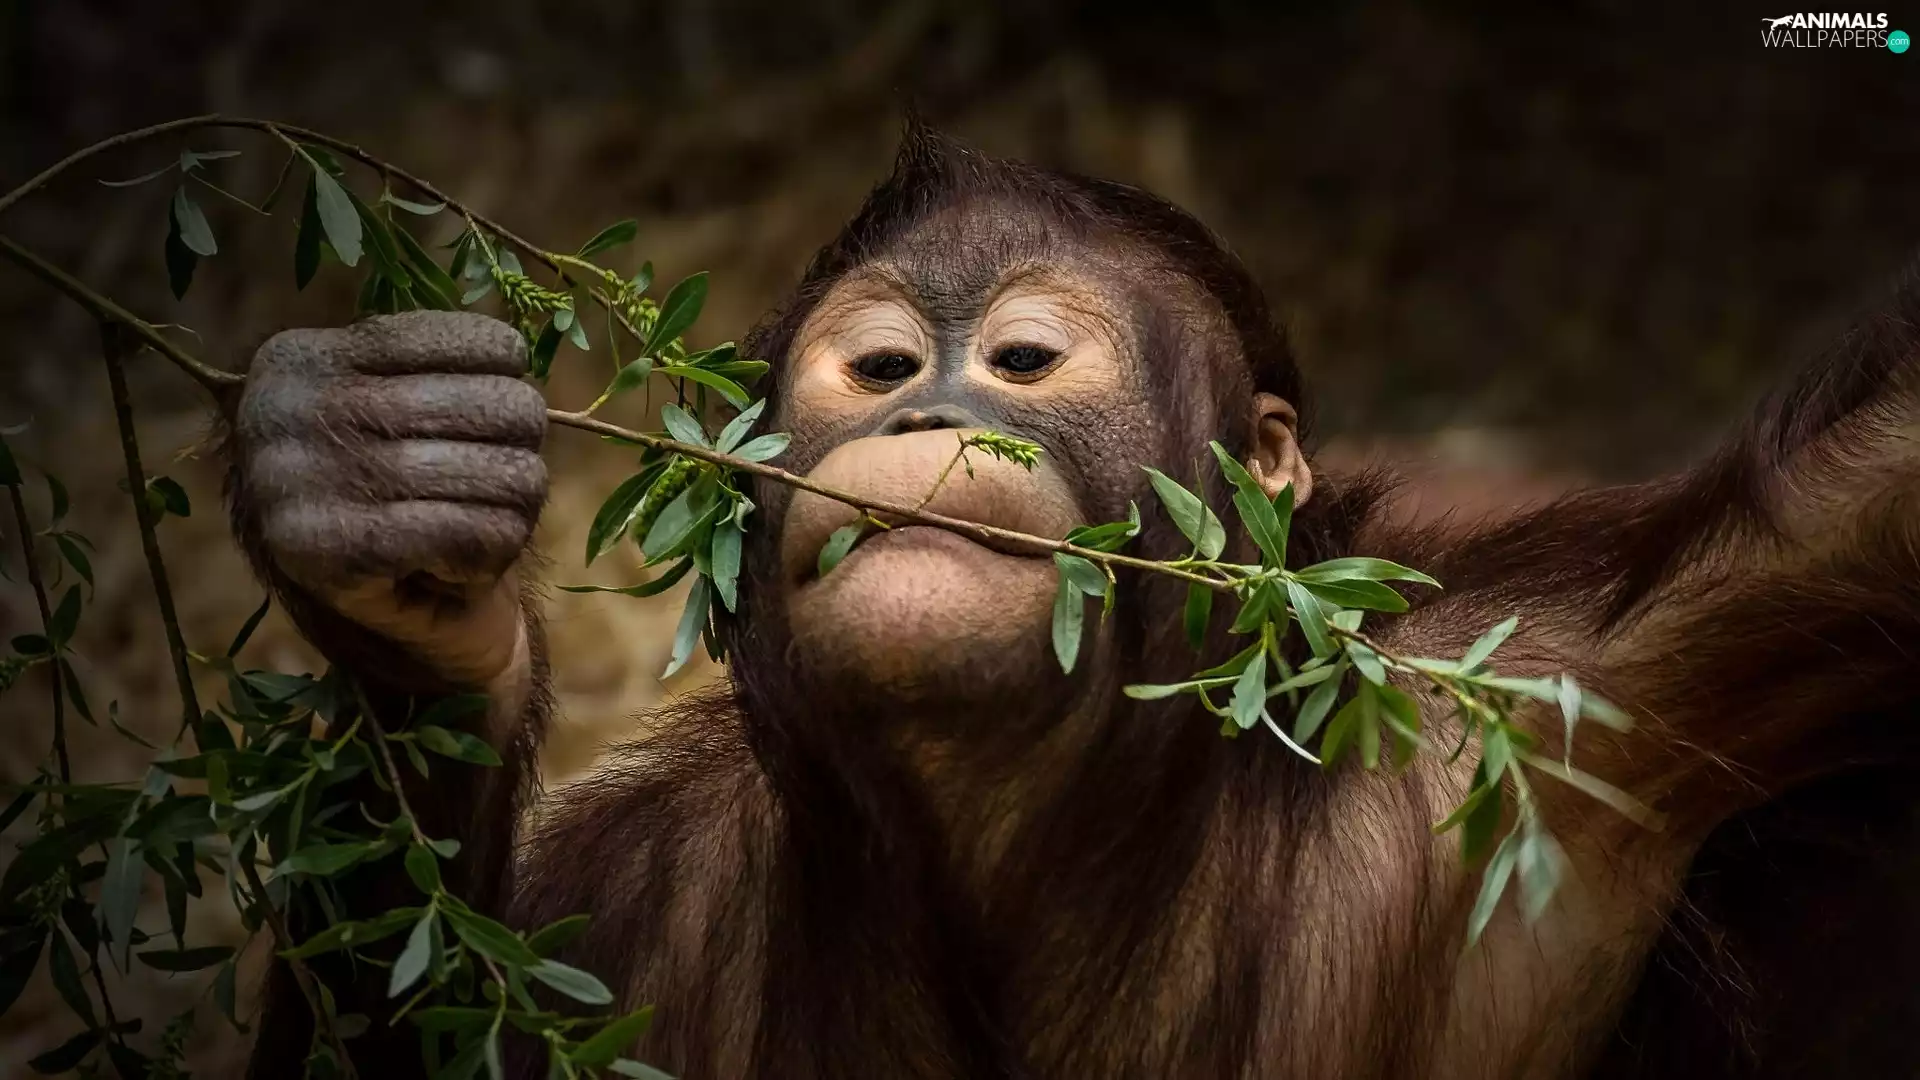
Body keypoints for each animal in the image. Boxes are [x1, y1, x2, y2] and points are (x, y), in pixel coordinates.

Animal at [228, 126, 1920, 1078]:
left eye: (1028, 360)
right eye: (877, 368)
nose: (927, 413)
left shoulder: (1604, 685)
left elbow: (1858, 517)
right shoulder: (611, 901)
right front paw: (389, 523)